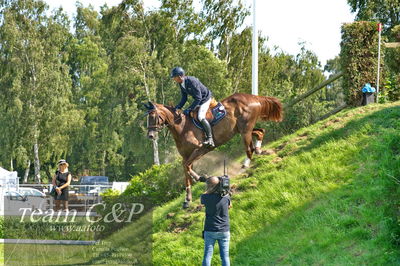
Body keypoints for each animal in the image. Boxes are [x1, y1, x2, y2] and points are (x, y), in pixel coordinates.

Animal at [145, 92, 282, 209]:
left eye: (153, 116)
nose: (150, 136)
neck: (182, 127)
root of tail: (254, 97)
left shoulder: (201, 149)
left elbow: (187, 167)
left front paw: (200, 177)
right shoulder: (186, 156)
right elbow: (186, 171)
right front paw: (187, 200)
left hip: (245, 130)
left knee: (249, 148)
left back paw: (245, 165)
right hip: (242, 129)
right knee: (260, 132)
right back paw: (259, 150)